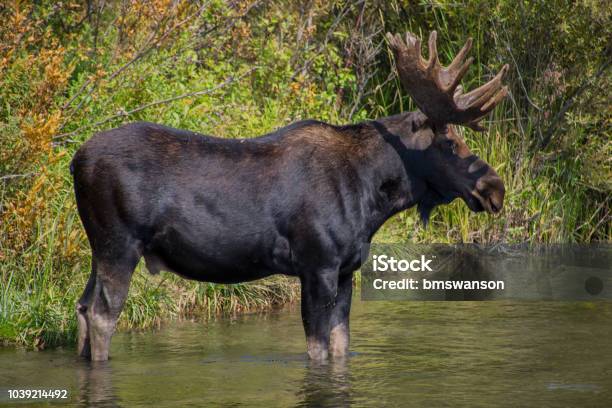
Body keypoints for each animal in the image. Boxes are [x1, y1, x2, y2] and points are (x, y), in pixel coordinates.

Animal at [71, 32, 510, 364]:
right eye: (450, 142)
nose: (495, 189)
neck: (372, 200)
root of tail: (75, 162)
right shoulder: (317, 264)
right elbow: (317, 348)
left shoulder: (347, 269)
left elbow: (340, 345)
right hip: (120, 243)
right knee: (103, 314)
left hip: (99, 246)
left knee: (82, 306)